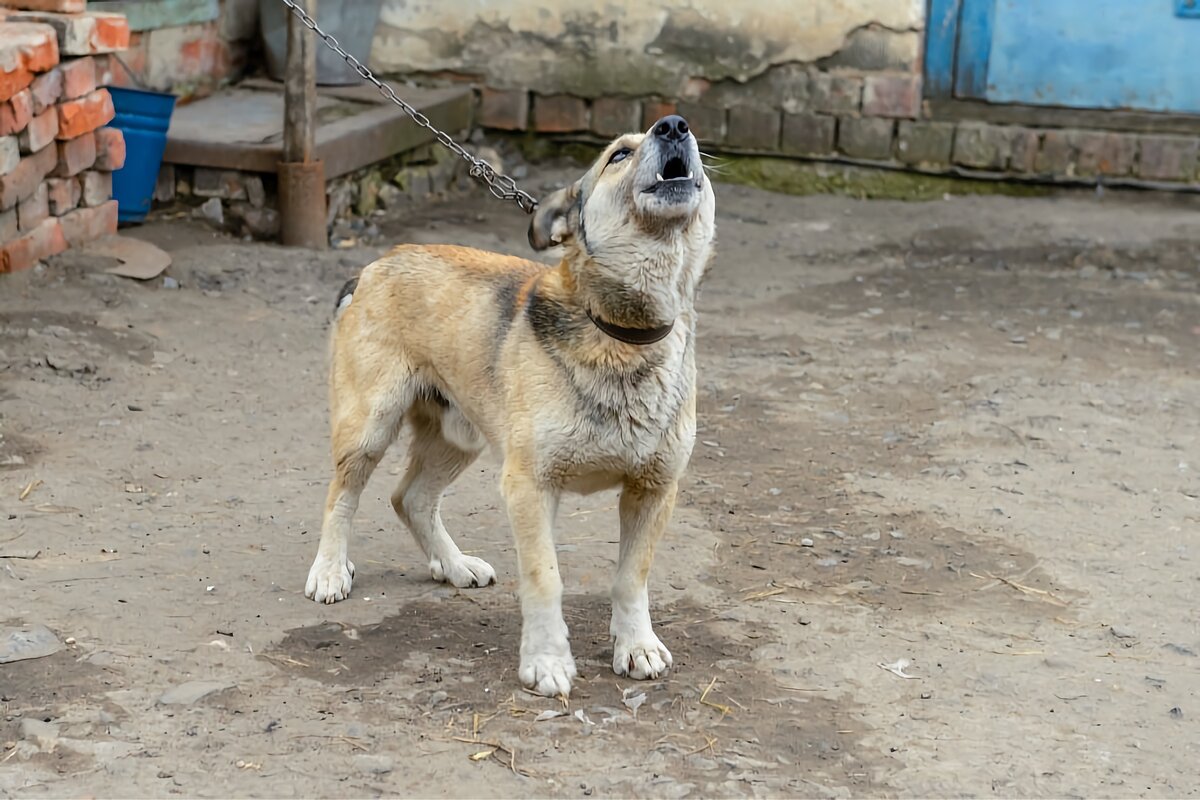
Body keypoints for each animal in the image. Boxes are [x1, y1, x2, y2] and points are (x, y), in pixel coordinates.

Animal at [304, 115, 715, 695]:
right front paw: (546, 660)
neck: (620, 334)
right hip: (369, 426)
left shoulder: (655, 489)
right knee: (342, 496)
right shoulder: (529, 485)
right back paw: (329, 570)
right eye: (618, 154)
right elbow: (545, 578)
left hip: (459, 437)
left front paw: (635, 646)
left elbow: (631, 579)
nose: (675, 125)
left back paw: (452, 565)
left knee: (411, 498)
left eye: (687, 133)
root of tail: (374, 267)